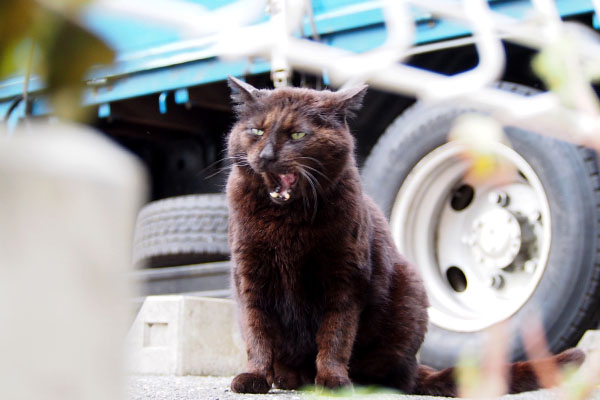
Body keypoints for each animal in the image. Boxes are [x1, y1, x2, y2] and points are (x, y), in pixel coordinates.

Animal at [223, 76, 584, 396]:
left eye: (298, 134)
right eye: (256, 131)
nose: (266, 156)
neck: (286, 223)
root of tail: (415, 366)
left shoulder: (344, 278)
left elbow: (335, 335)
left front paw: (333, 380)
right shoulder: (250, 277)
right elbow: (258, 334)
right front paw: (255, 376)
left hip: (410, 290)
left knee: (398, 377)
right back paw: (288, 378)